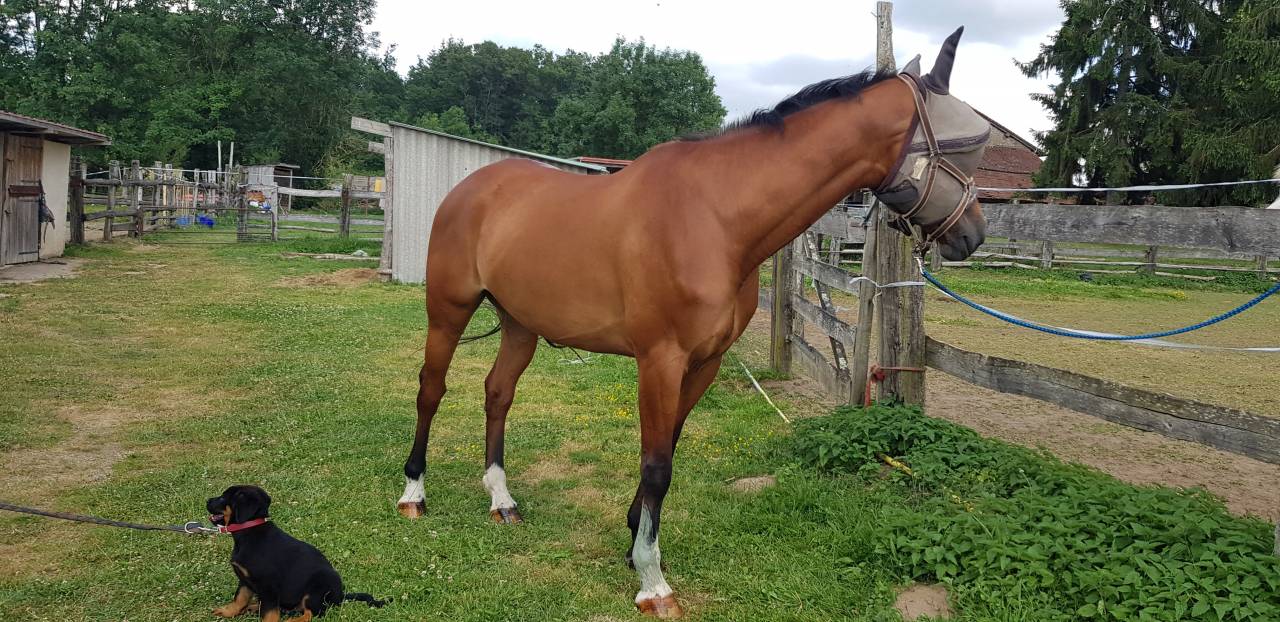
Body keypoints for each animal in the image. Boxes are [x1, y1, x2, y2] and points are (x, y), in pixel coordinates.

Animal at [396, 27, 992, 618]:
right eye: (969, 148)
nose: (973, 235)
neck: (715, 218)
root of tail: (470, 188)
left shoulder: (705, 362)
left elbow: (668, 450)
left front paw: (634, 540)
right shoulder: (660, 360)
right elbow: (657, 463)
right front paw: (652, 579)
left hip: (521, 324)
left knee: (497, 393)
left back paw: (502, 499)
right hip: (447, 312)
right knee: (431, 389)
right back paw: (414, 494)